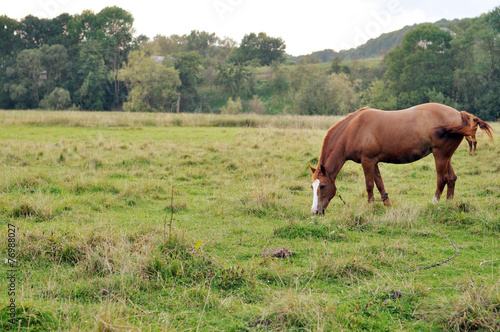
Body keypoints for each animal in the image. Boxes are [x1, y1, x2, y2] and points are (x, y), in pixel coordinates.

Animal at [308, 102, 492, 215]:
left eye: (323, 186)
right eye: (312, 186)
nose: (315, 211)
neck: (353, 129)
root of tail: (459, 115)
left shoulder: (367, 161)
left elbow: (369, 186)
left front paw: (369, 207)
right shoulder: (373, 162)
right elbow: (380, 184)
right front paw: (387, 205)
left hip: (440, 155)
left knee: (443, 179)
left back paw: (434, 203)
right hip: (447, 156)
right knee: (452, 178)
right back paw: (449, 204)